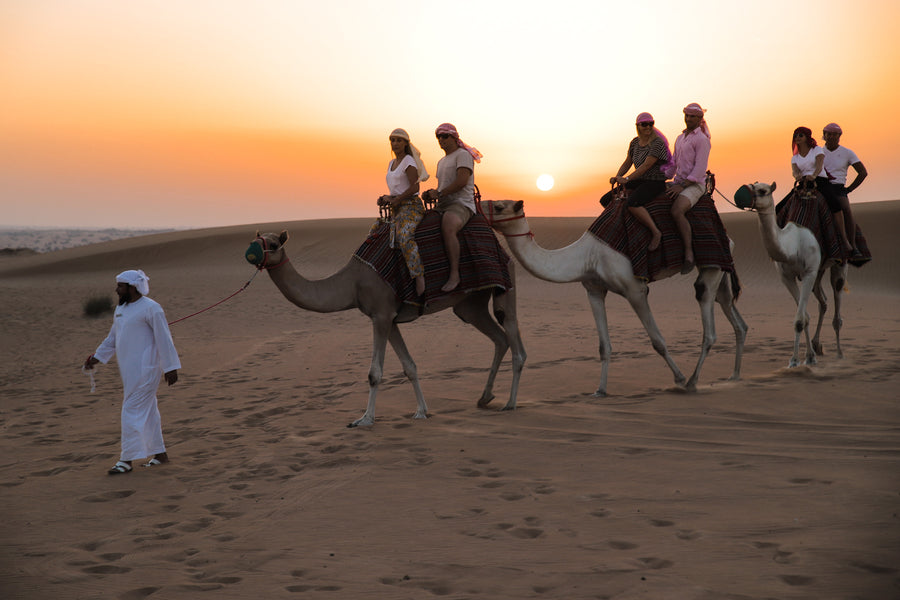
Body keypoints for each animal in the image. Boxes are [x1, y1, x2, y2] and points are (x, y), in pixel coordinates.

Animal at [246, 230, 528, 426]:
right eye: (258, 239)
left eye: (273, 244)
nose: (251, 252)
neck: (352, 283)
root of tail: (505, 253)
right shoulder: (390, 319)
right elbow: (409, 366)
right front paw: (421, 411)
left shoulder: (380, 315)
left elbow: (374, 373)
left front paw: (365, 419)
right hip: (470, 306)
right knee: (500, 338)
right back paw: (485, 397)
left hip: (504, 286)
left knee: (515, 342)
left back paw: (510, 403)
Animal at [482, 199, 748, 396]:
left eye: (499, 206)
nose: (479, 204)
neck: (586, 257)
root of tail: (728, 236)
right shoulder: (594, 290)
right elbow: (604, 346)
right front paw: (600, 390)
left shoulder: (635, 289)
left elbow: (658, 341)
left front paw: (679, 378)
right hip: (721, 271)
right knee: (735, 316)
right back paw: (734, 375)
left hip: (711, 266)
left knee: (708, 321)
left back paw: (692, 381)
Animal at [736, 182, 848, 366]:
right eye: (753, 183)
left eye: (762, 190)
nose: (740, 194)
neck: (792, 246)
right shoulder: (786, 277)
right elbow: (805, 317)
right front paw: (809, 357)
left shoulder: (809, 272)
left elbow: (799, 320)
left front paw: (795, 361)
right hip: (819, 271)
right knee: (823, 301)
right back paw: (817, 345)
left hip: (839, 264)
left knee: (837, 298)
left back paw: (839, 353)